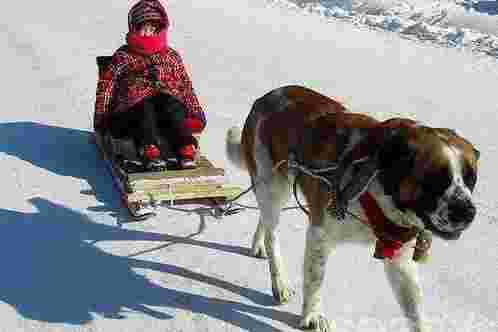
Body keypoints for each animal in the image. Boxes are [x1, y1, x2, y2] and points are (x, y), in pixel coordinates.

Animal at [225, 86, 478, 332]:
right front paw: (312, 315)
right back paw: (279, 281)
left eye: (471, 179)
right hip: (272, 184)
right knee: (272, 233)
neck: (376, 182)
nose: (468, 213)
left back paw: (259, 244)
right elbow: (315, 279)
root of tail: (264, 99)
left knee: (266, 220)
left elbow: (414, 308)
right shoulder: (319, 234)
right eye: (435, 180)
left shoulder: (399, 256)